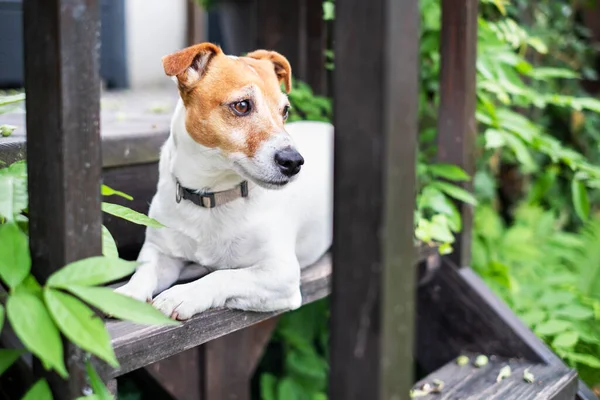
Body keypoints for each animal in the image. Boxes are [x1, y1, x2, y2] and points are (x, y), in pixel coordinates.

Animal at [115, 42, 336, 320]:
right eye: (242, 105)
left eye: (284, 111)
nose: (294, 161)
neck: (211, 193)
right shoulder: (161, 252)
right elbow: (145, 270)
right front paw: (128, 294)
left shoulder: (280, 274)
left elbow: (223, 275)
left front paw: (183, 294)